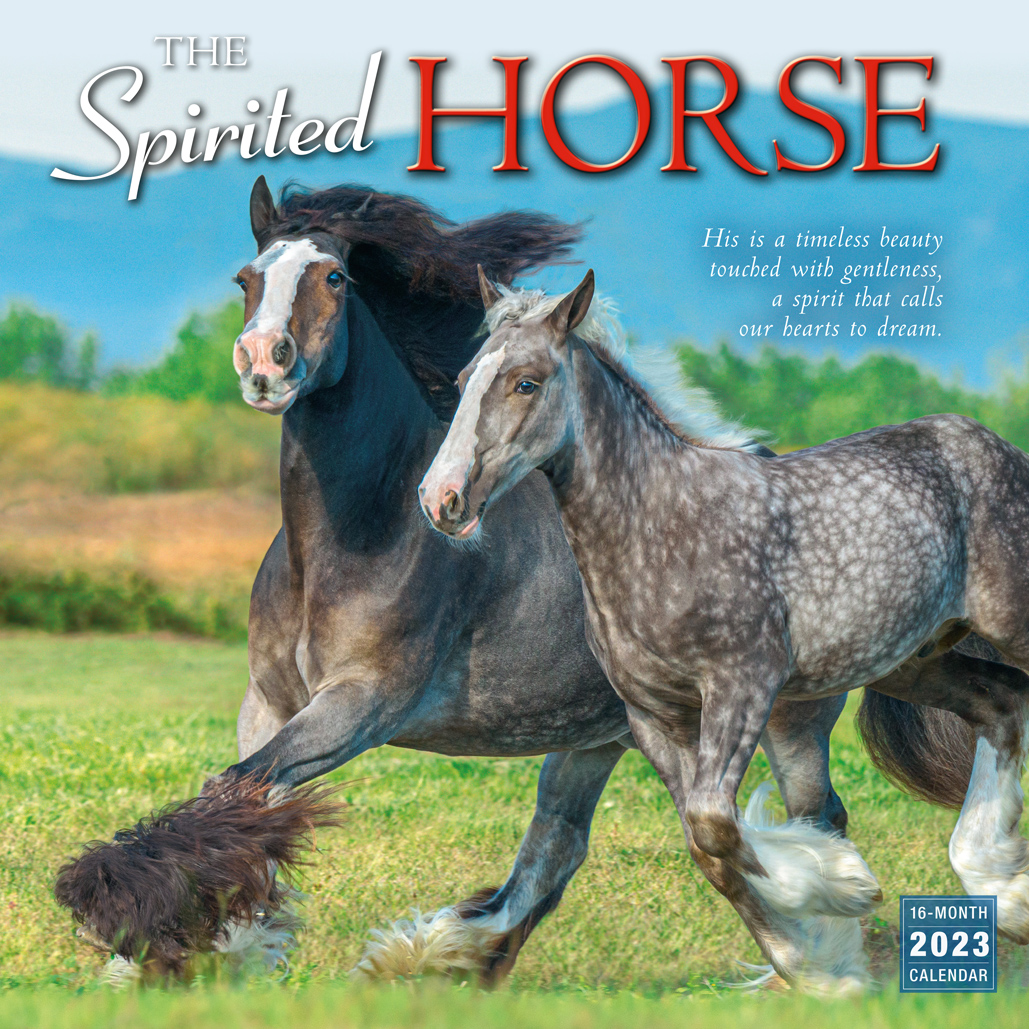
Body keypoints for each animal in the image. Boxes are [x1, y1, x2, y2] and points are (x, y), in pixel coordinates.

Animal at [420, 267, 1029, 988]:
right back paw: (1003, 892)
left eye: (526, 382)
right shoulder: (656, 717)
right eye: (464, 380)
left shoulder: (743, 687)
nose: (441, 499)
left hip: (1006, 625)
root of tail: (992, 446)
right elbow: (707, 843)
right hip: (915, 661)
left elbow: (716, 821)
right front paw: (821, 967)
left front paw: (843, 885)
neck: (661, 529)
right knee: (1002, 705)